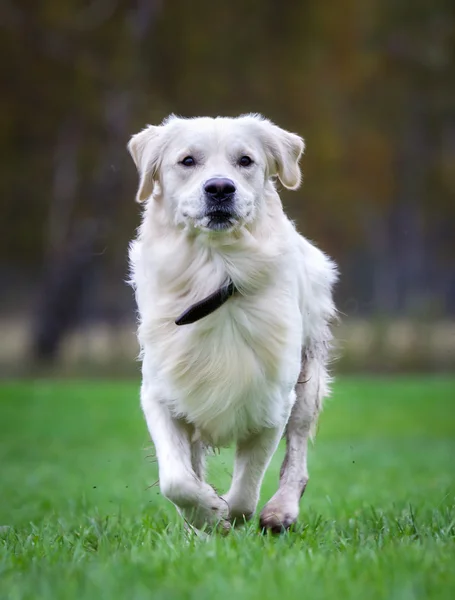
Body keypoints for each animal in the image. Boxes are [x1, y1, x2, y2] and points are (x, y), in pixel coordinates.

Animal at [128, 115, 338, 532]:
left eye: (245, 160)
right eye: (187, 160)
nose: (220, 188)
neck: (218, 270)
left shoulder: (271, 402)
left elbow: (245, 492)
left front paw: (225, 514)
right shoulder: (161, 394)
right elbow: (176, 480)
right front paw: (206, 513)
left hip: (308, 378)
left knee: (297, 454)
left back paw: (280, 512)